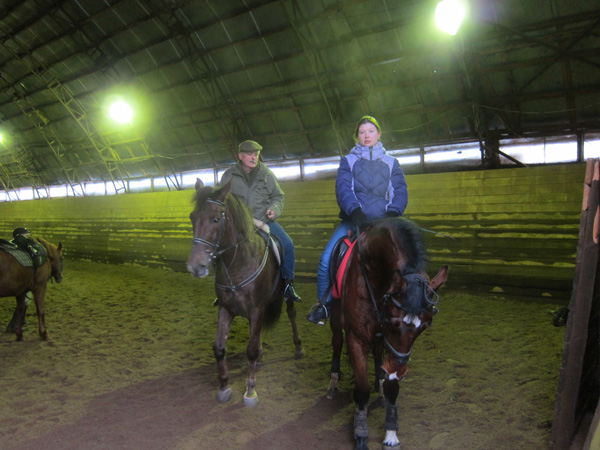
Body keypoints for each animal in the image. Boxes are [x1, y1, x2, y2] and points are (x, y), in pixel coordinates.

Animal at [187, 179, 304, 407]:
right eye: (192, 217)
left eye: (216, 219)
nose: (195, 267)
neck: (238, 263)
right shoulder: (226, 309)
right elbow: (219, 347)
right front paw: (224, 386)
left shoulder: (257, 308)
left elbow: (249, 350)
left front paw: (250, 391)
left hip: (285, 296)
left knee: (292, 314)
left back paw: (298, 349)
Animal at [326, 218, 448, 450]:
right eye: (393, 321)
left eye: (425, 326)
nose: (397, 371)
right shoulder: (357, 338)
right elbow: (362, 391)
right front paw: (361, 435)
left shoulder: (391, 347)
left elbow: (392, 389)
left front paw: (391, 434)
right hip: (336, 320)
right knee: (337, 344)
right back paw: (333, 383)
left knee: (377, 355)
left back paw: (380, 382)